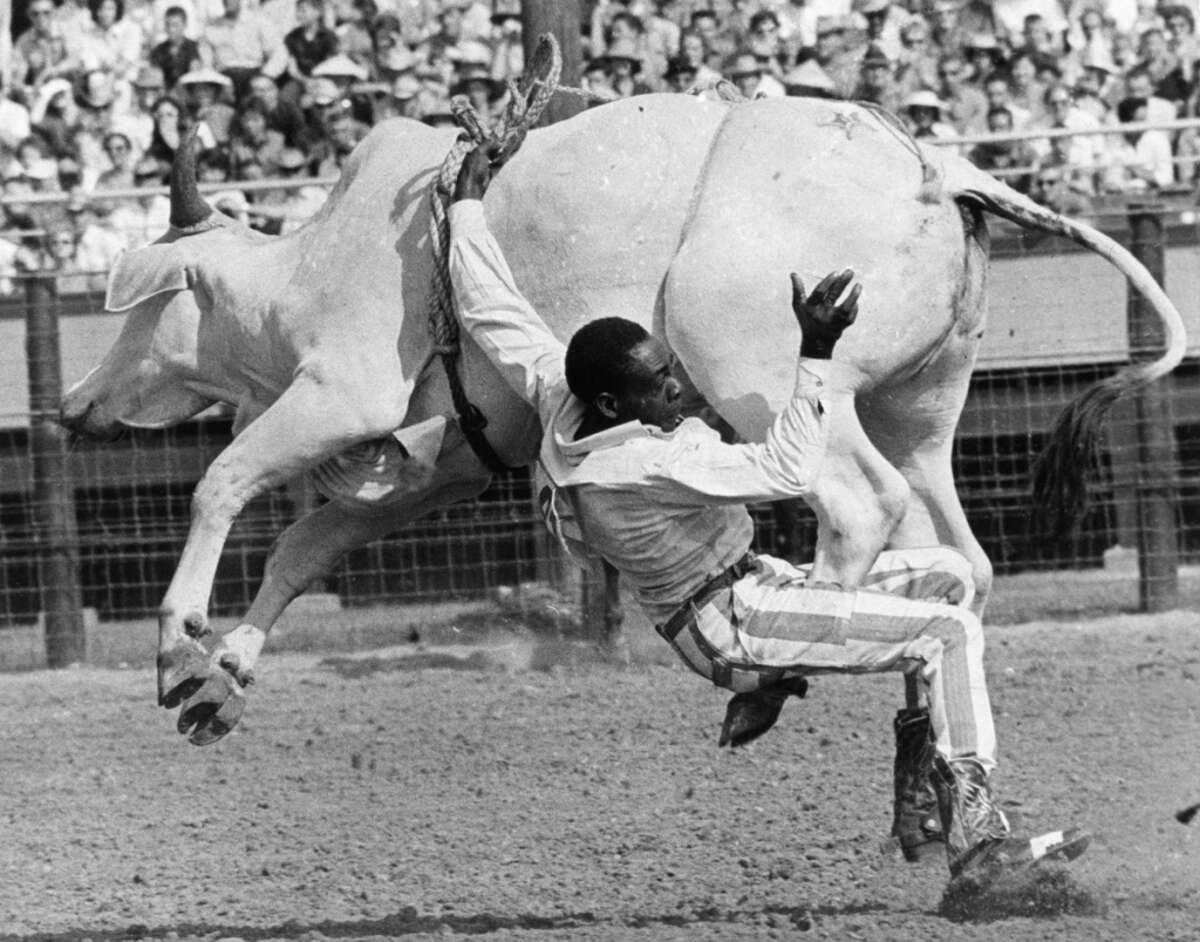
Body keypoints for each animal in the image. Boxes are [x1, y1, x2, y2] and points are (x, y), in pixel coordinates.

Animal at [60, 93, 1185, 744]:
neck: (304, 269)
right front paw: (223, 678)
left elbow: (224, 481)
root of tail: (935, 169)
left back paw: (781, 655)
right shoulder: (446, 464)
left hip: (752, 365)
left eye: (142, 312)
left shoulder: (344, 390)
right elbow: (303, 545)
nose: (73, 405)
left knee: (860, 506)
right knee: (959, 544)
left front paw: (177, 643)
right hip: (920, 407)